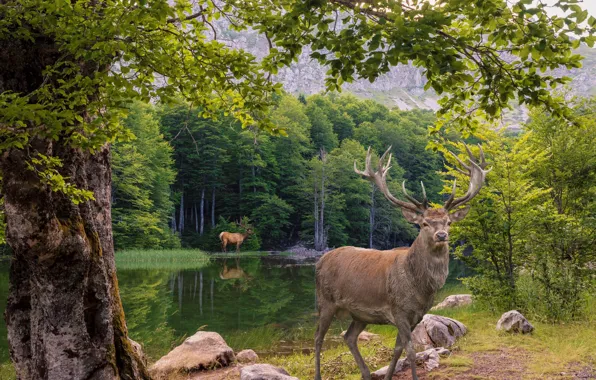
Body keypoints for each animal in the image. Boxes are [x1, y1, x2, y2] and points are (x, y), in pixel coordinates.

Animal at [314, 145, 486, 380]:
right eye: (424, 223)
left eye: (449, 222)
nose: (441, 235)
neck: (419, 286)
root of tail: (319, 261)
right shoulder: (399, 310)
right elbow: (411, 351)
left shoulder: (416, 316)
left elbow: (398, 349)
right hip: (325, 301)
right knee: (318, 339)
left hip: (359, 314)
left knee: (348, 336)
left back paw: (366, 373)